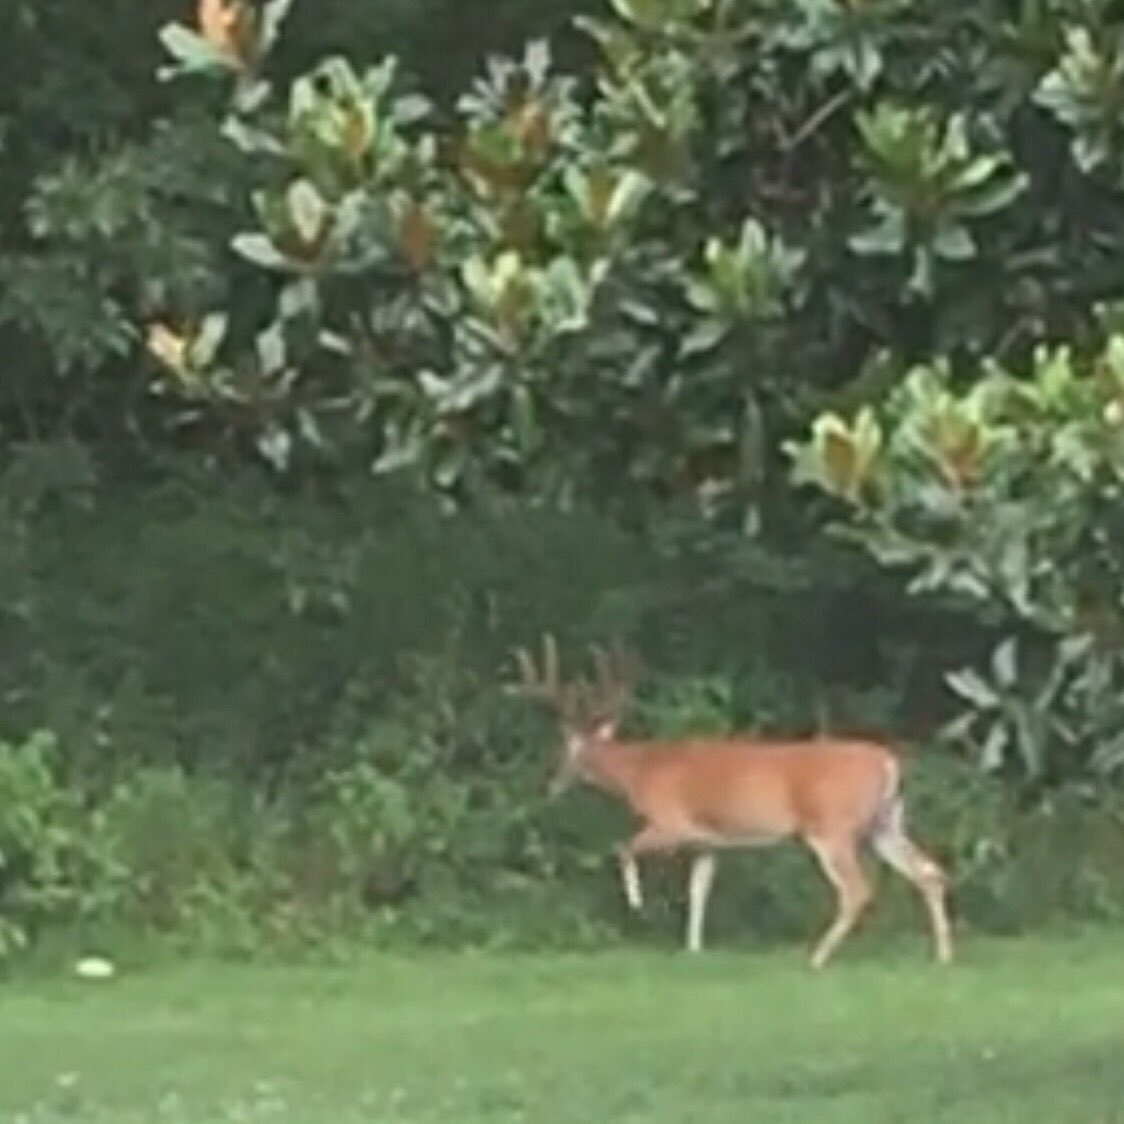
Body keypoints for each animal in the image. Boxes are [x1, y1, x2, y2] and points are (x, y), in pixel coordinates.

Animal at [510, 635, 953, 970]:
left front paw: (636, 902)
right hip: (885, 823)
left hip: (832, 826)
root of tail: (889, 763)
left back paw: (816, 958)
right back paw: (943, 956)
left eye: (563, 752)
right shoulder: (709, 842)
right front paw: (693, 950)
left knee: (857, 890)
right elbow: (698, 891)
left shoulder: (673, 821)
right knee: (929, 872)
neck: (641, 771)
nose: (550, 785)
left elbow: (622, 849)